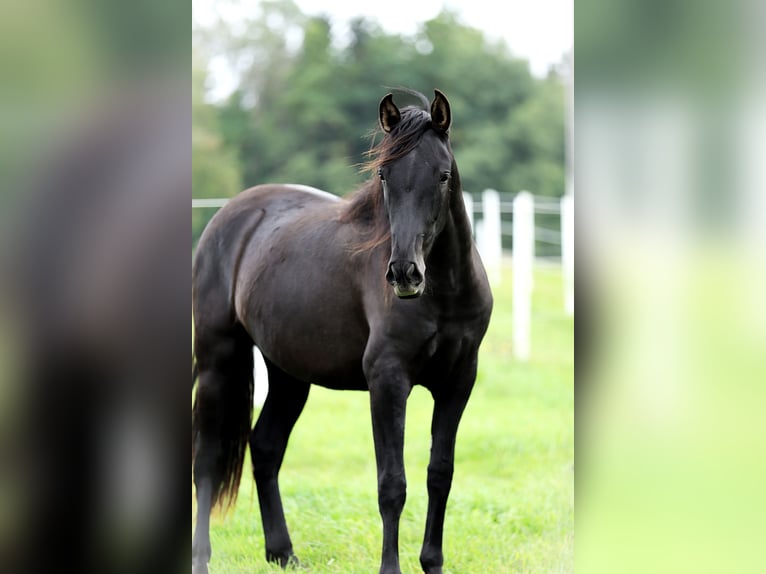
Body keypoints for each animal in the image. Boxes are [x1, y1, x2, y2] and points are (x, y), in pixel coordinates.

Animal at [192, 89, 493, 574]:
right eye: (385, 174)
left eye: (443, 175)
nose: (405, 273)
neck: (444, 292)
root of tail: (230, 216)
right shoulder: (388, 381)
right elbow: (392, 483)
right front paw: (391, 568)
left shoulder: (458, 382)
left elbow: (439, 474)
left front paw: (432, 563)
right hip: (218, 362)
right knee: (208, 460)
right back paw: (203, 558)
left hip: (288, 375)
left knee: (266, 447)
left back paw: (282, 553)